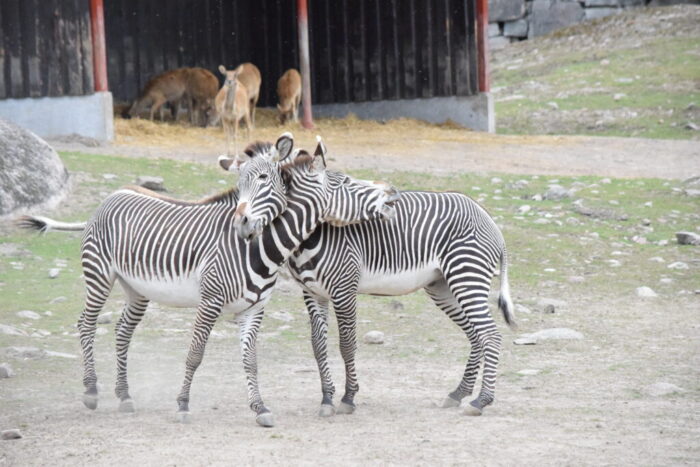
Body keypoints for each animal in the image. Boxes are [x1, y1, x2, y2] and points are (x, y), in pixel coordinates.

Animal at [17, 133, 399, 427]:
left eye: (264, 180)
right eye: (346, 182)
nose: (241, 224)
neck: (259, 248)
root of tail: (113, 194)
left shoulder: (254, 308)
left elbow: (250, 359)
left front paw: (260, 408)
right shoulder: (210, 301)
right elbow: (195, 354)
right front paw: (183, 405)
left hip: (136, 290)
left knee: (123, 331)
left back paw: (124, 395)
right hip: (99, 274)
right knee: (86, 323)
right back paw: (91, 391)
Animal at [240, 137, 516, 417]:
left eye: (263, 178)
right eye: (240, 181)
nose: (243, 224)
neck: (309, 237)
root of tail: (488, 217)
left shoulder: (344, 289)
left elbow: (347, 344)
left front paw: (348, 397)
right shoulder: (312, 292)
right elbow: (318, 345)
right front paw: (327, 399)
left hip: (466, 276)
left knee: (490, 334)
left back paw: (481, 400)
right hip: (443, 286)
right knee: (476, 334)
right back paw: (458, 393)